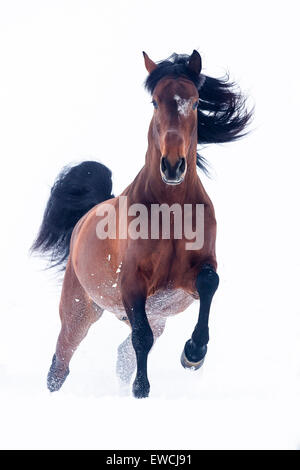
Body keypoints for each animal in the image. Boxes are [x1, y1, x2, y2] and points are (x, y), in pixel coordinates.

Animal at [32, 50, 252, 396]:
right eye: (154, 102)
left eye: (195, 101)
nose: (173, 166)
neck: (171, 213)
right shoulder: (132, 283)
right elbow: (141, 338)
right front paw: (141, 389)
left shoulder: (190, 278)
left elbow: (209, 283)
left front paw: (193, 354)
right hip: (79, 310)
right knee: (60, 363)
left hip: (156, 315)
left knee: (122, 352)